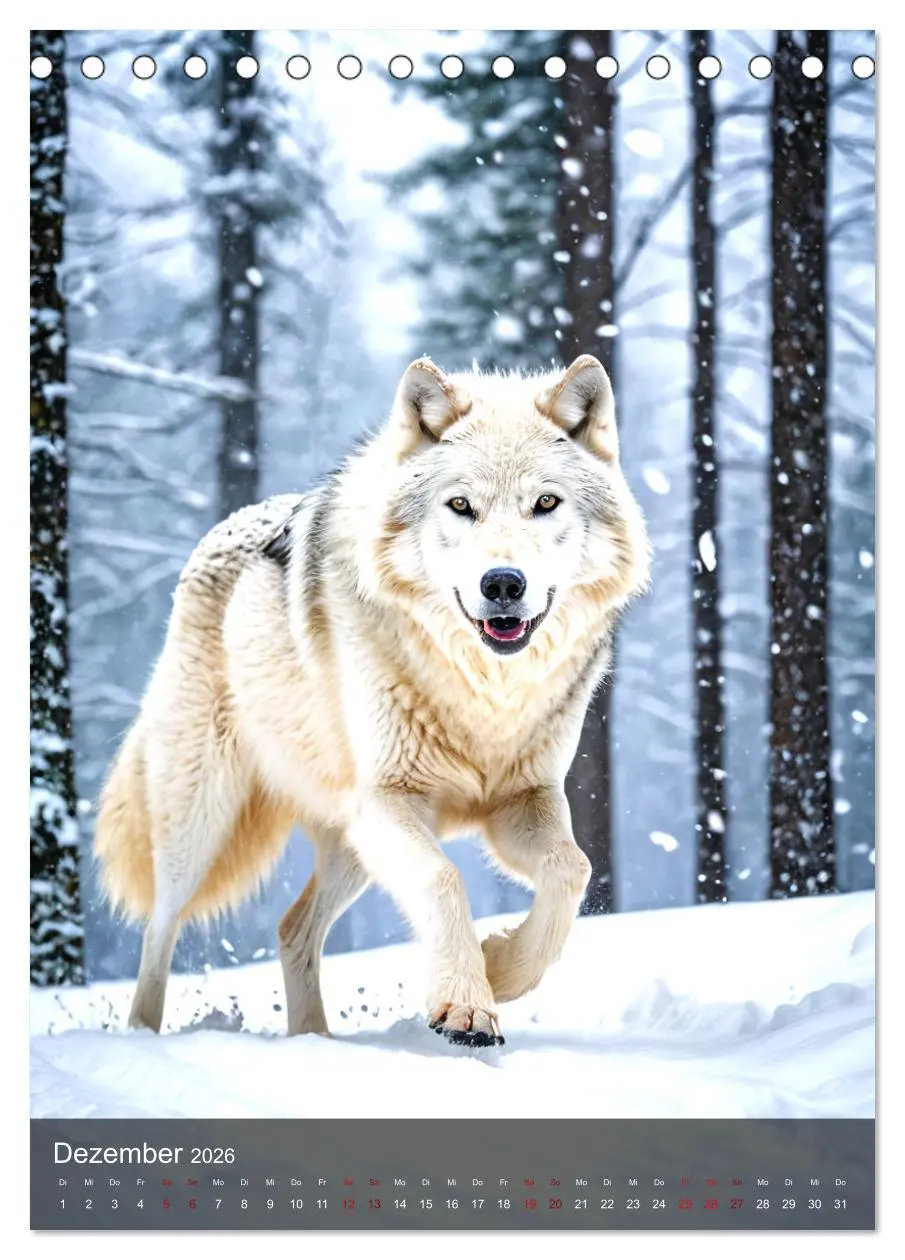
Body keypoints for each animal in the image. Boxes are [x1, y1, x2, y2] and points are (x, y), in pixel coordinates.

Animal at [94, 354, 651, 1047]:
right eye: (460, 505)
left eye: (545, 503)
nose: (503, 583)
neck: (484, 694)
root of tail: (220, 528)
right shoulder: (389, 801)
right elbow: (445, 878)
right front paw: (468, 1005)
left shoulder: (524, 799)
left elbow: (571, 871)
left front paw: (500, 968)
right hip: (202, 820)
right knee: (159, 928)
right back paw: (144, 1035)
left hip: (350, 842)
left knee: (292, 928)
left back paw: (313, 1041)